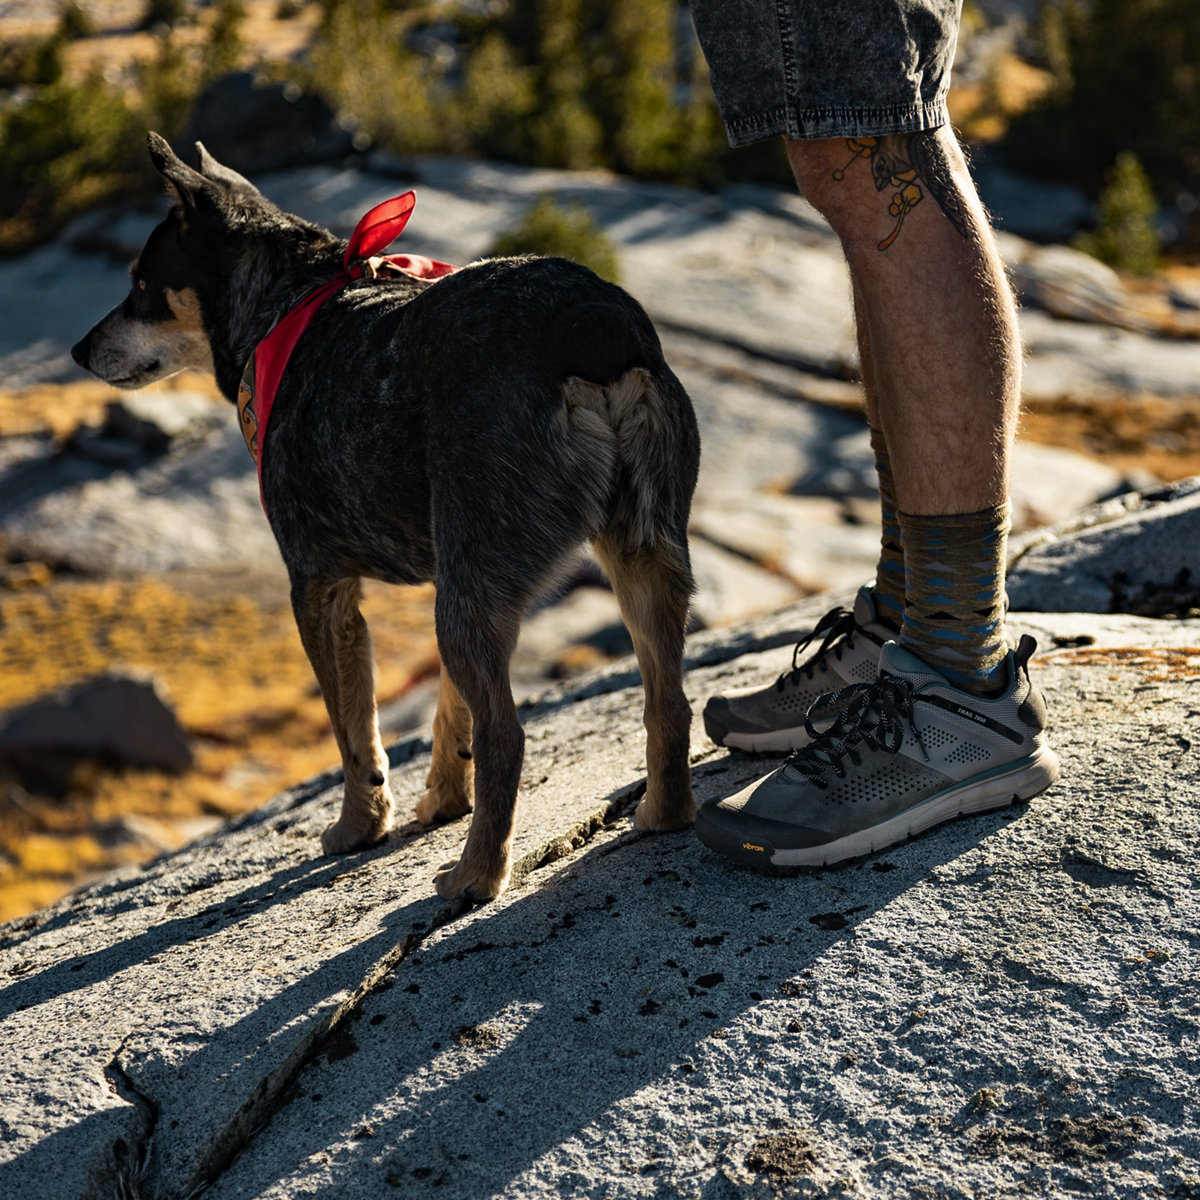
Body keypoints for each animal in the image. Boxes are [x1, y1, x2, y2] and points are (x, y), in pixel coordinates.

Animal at [70, 131, 700, 902]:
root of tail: (593, 326)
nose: (78, 350)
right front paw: (442, 800)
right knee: (669, 702)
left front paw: (359, 826)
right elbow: (448, 712)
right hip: (637, 550)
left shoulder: (319, 585)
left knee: (507, 736)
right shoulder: (444, 570)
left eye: (140, 285)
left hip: (477, 583)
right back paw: (663, 814)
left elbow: (353, 732)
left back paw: (475, 877)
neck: (289, 304)